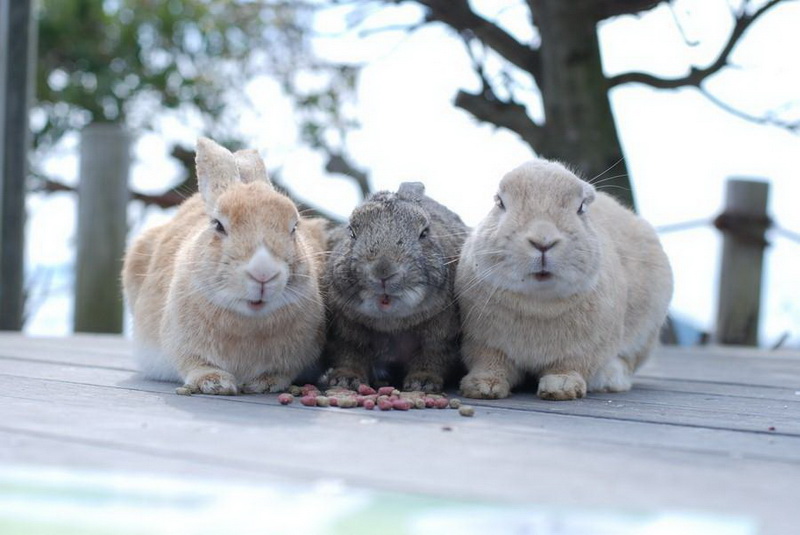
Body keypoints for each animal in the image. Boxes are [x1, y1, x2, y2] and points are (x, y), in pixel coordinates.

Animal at [121, 136, 324, 396]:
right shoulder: (183, 346)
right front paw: (214, 383)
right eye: (218, 225)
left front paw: (263, 383)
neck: (250, 319)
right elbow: (195, 363)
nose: (263, 273)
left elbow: (282, 372)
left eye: (294, 227)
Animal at [324, 182, 472, 392]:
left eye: (424, 233)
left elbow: (431, 358)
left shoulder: (439, 339)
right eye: (351, 232)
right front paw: (345, 379)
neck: (391, 321)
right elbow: (350, 355)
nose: (383, 271)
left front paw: (422, 382)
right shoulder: (347, 336)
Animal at [454, 160, 672, 402]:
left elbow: (571, 367)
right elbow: (489, 363)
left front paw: (561, 388)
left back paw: (610, 379)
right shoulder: (484, 344)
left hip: (649, 325)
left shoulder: (584, 350)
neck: (538, 303)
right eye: (500, 202)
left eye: (581, 208)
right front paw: (482, 387)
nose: (543, 241)